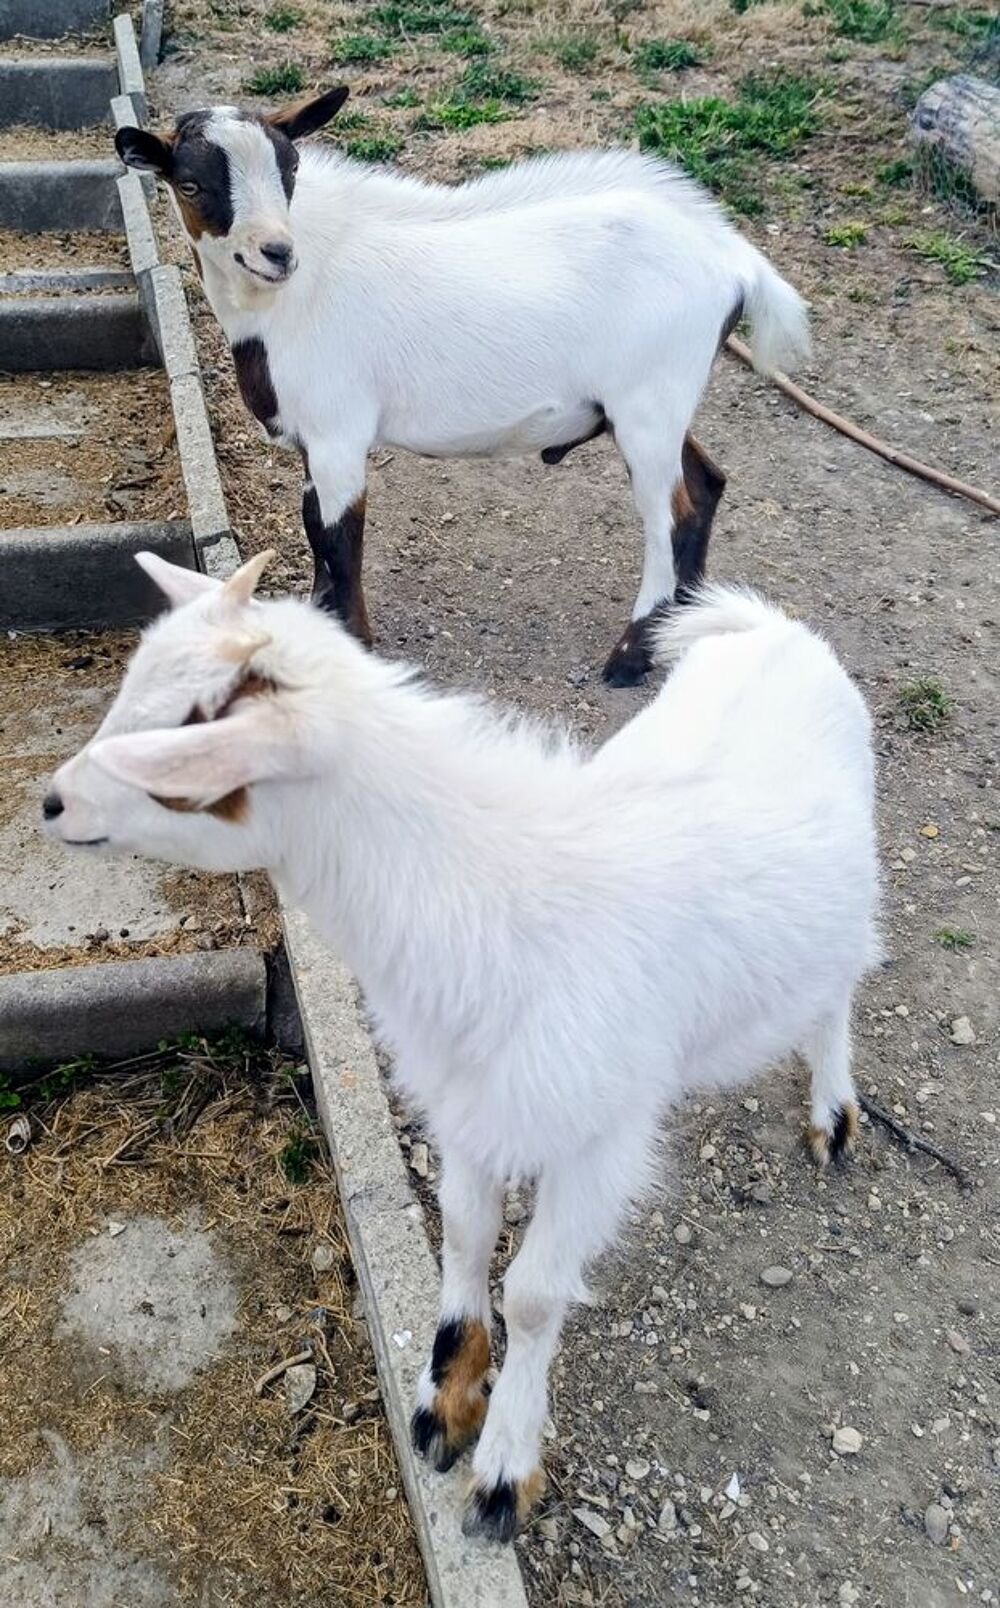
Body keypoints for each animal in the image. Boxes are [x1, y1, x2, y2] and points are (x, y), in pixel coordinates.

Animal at [46, 550, 879, 1538]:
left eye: (184, 743)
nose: (52, 802)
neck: (494, 893)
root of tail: (776, 632)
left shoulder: (600, 1134)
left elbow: (536, 1293)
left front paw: (506, 1467)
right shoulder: (467, 1097)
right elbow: (465, 1234)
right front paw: (445, 1398)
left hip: (845, 906)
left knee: (839, 987)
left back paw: (833, 1111)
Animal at [115, 92, 810, 685]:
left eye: (290, 168)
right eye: (191, 183)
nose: (276, 253)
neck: (292, 297)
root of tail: (737, 261)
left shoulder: (339, 433)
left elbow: (340, 539)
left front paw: (355, 647)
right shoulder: (314, 439)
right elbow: (314, 528)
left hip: (648, 408)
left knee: (671, 514)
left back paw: (630, 657)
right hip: (653, 407)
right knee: (707, 484)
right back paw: (685, 628)